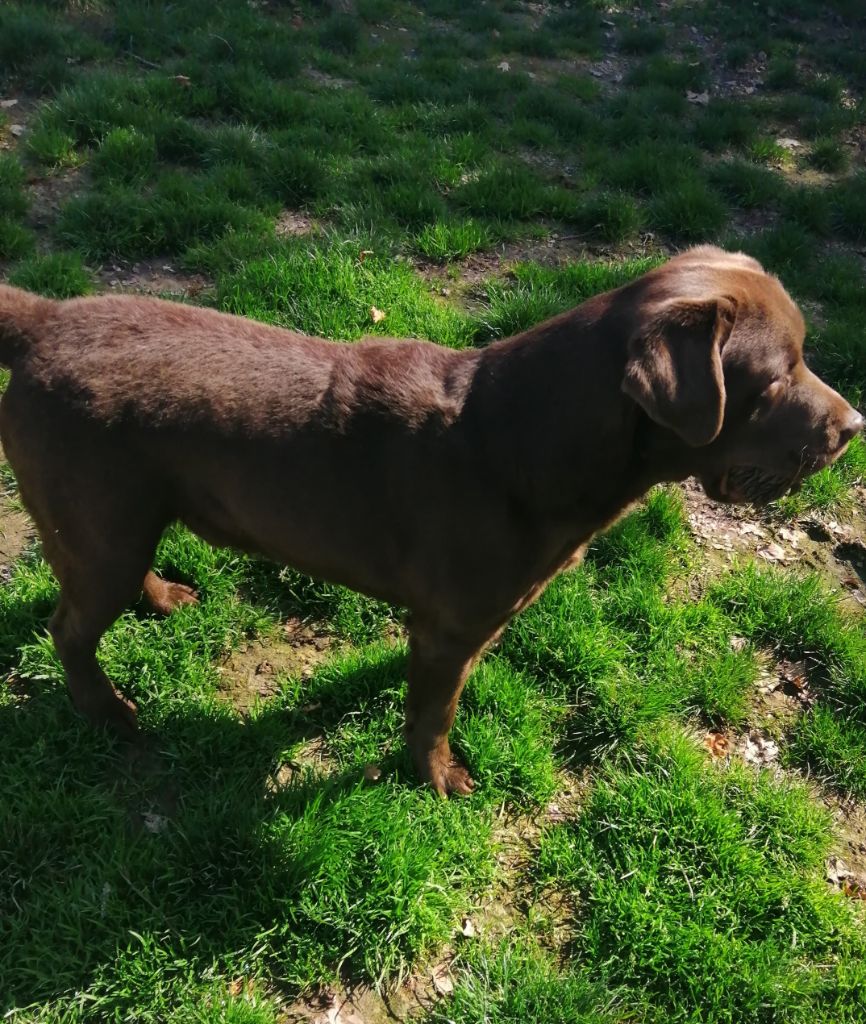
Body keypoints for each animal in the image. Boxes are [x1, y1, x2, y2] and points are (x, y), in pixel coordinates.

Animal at [0, 245, 863, 790]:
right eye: (775, 380)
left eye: (803, 359)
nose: (854, 427)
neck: (525, 438)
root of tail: (44, 318)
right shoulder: (451, 626)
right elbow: (434, 713)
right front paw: (439, 778)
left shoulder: (453, 623)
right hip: (99, 526)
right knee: (68, 630)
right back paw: (110, 713)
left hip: (120, 522)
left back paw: (162, 599)